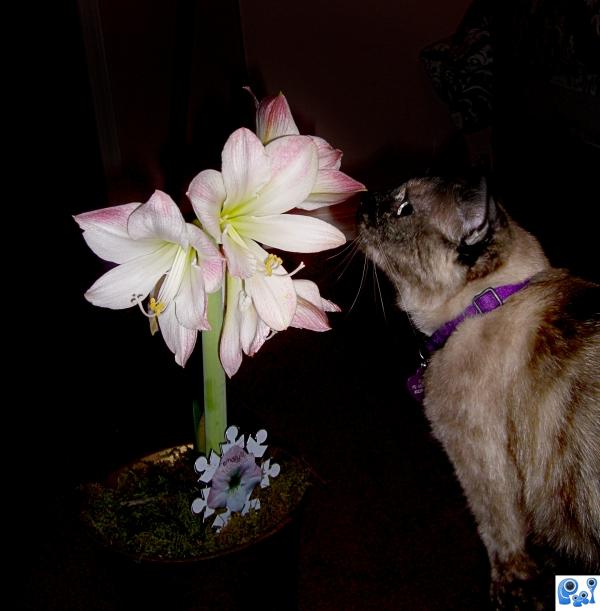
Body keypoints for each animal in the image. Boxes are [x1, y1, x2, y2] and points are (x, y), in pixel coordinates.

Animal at [358, 175, 596, 608]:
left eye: (404, 209)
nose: (363, 201)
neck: (484, 304)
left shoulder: (478, 464)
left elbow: (501, 542)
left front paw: (510, 595)